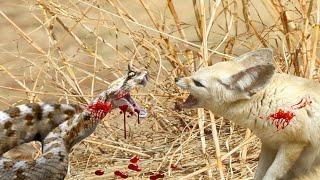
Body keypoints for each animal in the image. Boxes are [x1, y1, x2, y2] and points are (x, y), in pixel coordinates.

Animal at [176, 48, 320, 179]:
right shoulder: (269, 144)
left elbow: (271, 173)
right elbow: (260, 172)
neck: (267, 101)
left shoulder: (294, 144)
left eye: (198, 83)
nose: (177, 78)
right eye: (194, 74)